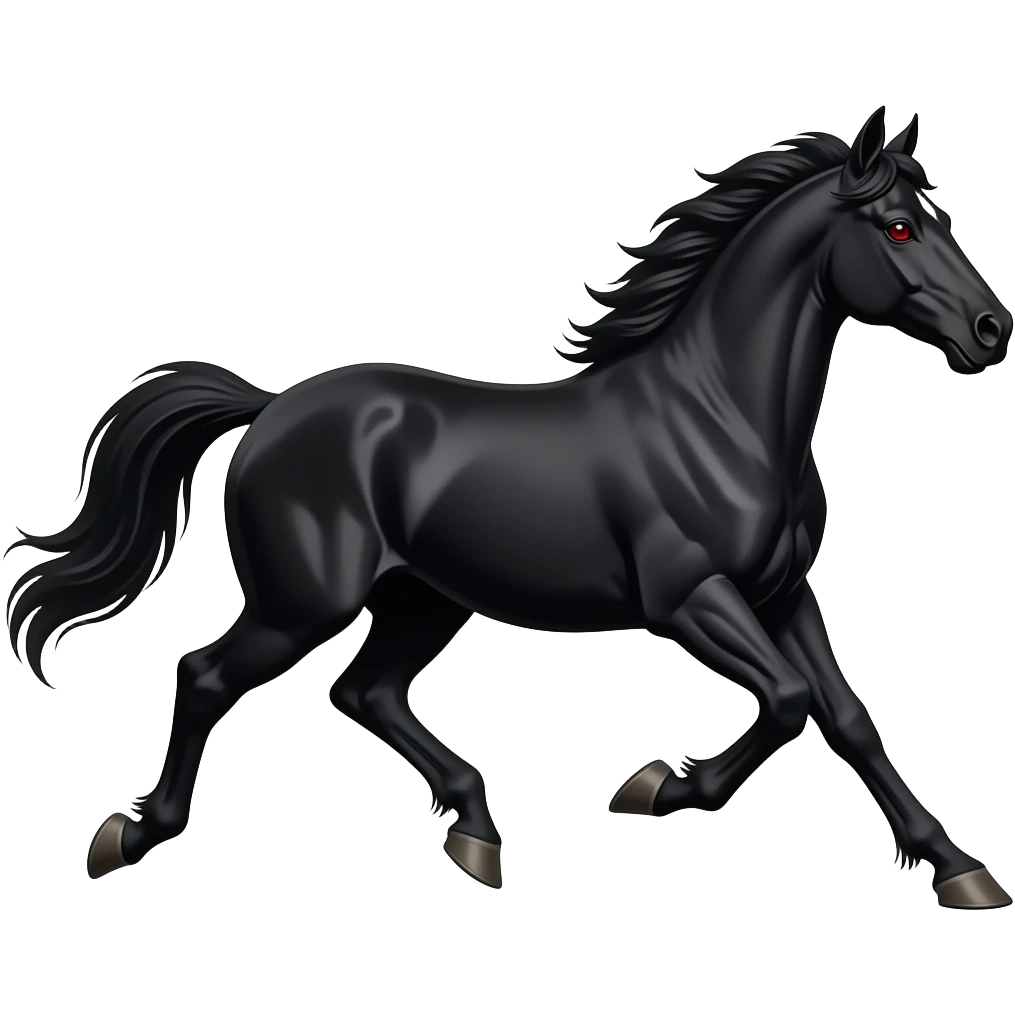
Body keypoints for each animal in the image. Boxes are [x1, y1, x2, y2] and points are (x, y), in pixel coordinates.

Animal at [5, 106, 1012, 905]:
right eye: (896, 229)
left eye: (937, 217)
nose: (991, 329)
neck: (721, 412)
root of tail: (268, 408)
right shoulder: (689, 598)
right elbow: (790, 700)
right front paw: (654, 786)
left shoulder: (782, 592)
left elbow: (848, 720)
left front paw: (960, 869)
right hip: (303, 601)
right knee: (208, 673)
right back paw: (129, 835)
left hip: (421, 598)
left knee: (364, 690)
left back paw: (476, 833)